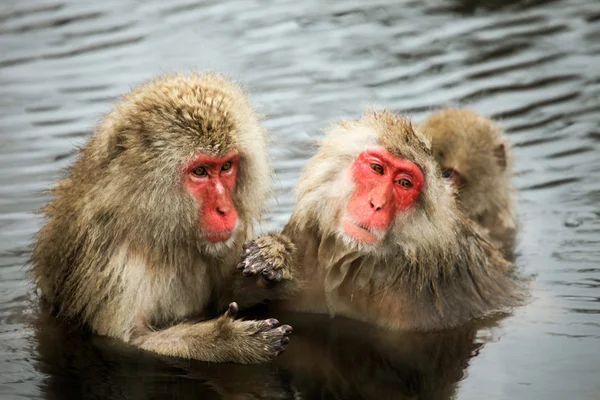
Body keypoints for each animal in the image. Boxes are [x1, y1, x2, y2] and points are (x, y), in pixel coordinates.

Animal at [31, 72, 292, 366]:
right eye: (200, 171)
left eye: (226, 166)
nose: (225, 209)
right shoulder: (114, 262)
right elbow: (129, 340)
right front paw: (229, 340)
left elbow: (223, 297)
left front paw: (270, 257)